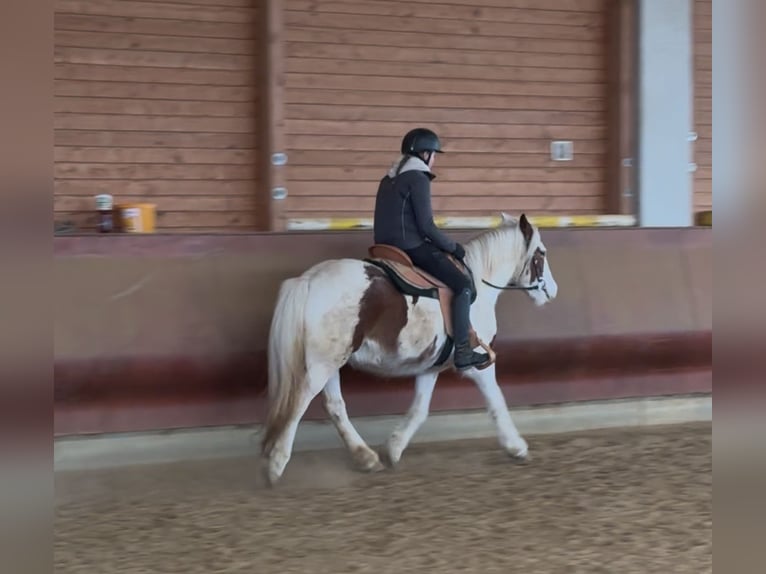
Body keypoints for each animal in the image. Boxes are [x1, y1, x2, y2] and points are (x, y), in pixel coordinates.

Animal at [262, 213, 560, 486]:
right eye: (541, 254)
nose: (553, 292)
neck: (478, 285)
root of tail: (309, 279)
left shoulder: (430, 367)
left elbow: (420, 409)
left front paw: (394, 448)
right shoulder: (478, 366)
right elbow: (497, 400)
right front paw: (516, 446)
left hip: (331, 361)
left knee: (335, 406)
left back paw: (366, 457)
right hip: (322, 365)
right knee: (299, 401)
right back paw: (276, 464)